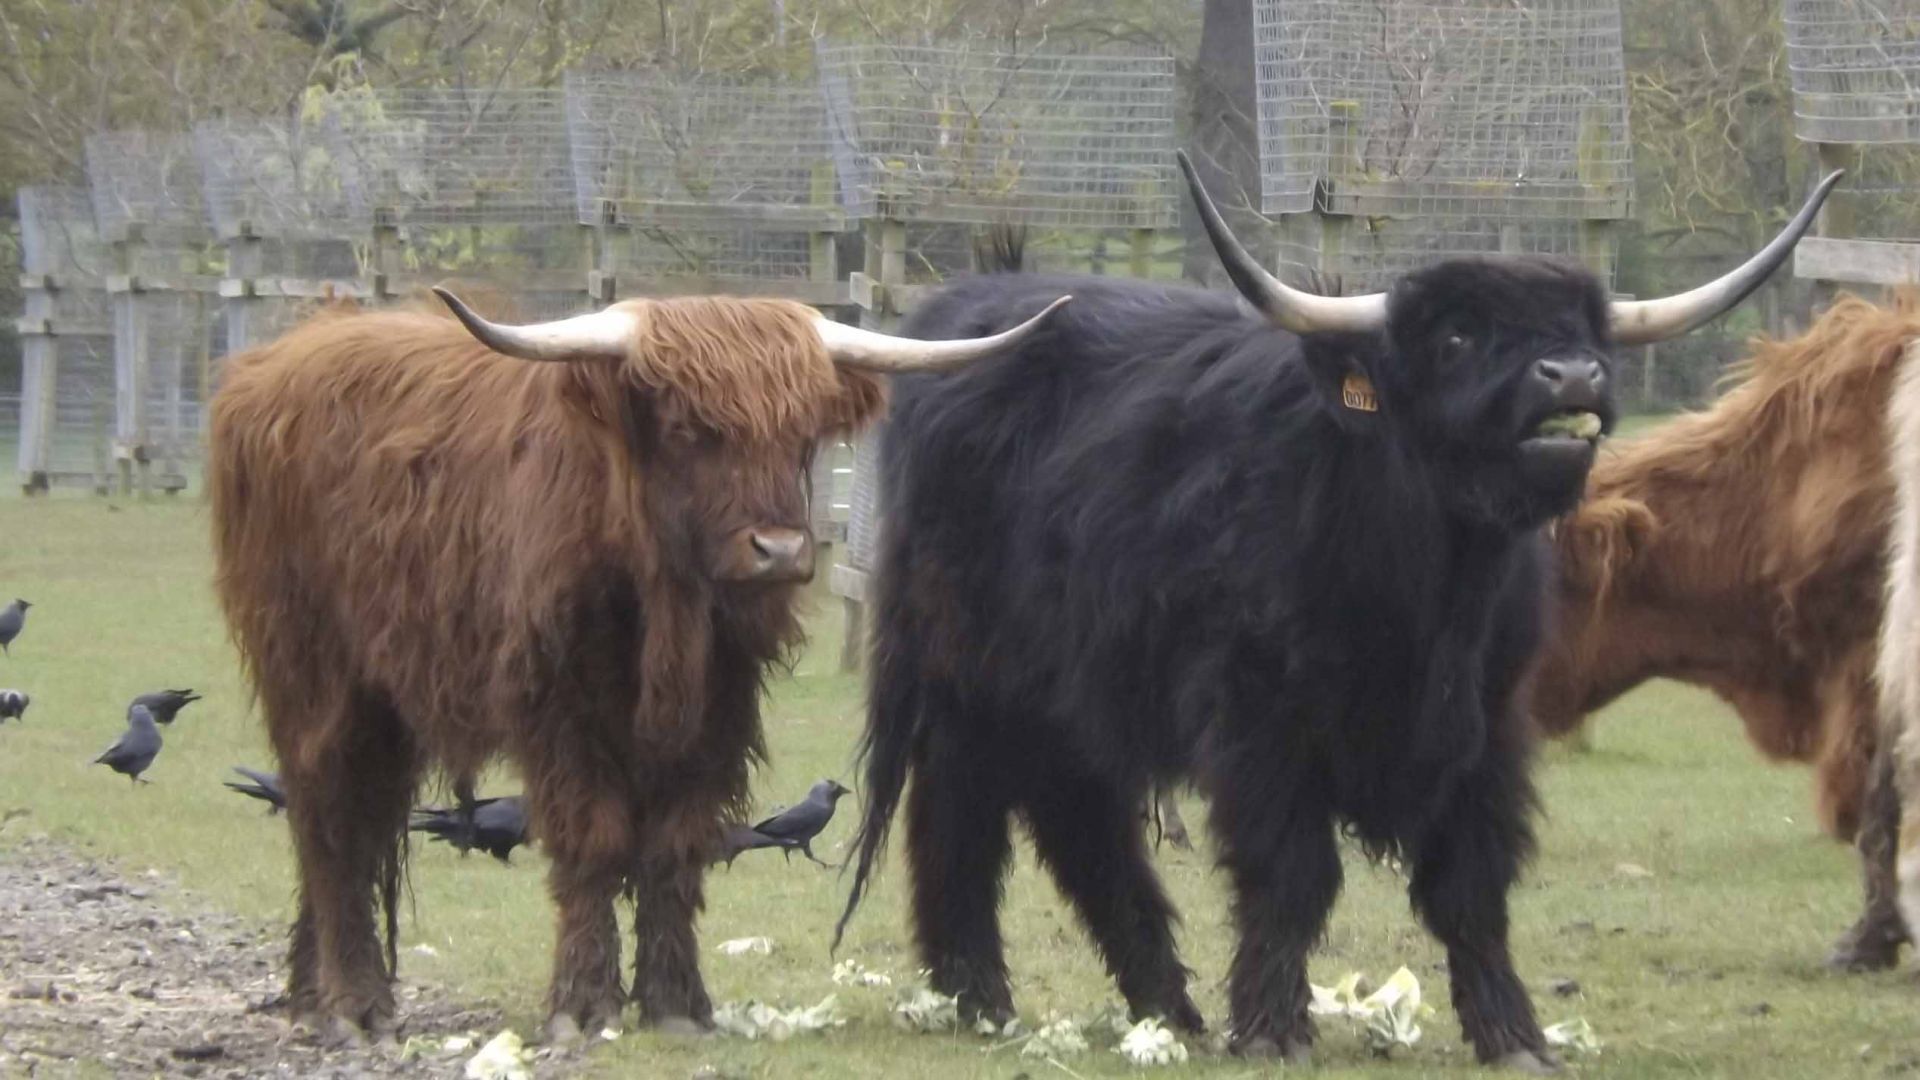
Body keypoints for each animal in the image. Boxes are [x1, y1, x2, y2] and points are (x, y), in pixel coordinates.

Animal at [206, 286, 1065, 1044]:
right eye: (691, 428)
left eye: (803, 432)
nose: (780, 550)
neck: (664, 612)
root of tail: (278, 362)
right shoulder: (560, 712)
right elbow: (595, 839)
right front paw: (583, 1007)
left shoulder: (718, 713)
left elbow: (676, 846)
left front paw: (678, 1006)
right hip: (315, 677)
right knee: (329, 820)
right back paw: (353, 1009)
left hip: (385, 695)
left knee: (358, 822)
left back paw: (314, 998)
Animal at [833, 153, 1835, 1072]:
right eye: (1458, 336)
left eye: (1585, 330)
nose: (1571, 375)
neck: (1430, 586)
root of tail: (972, 306)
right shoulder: (1262, 720)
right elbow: (1292, 873)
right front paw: (1275, 1028)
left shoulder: (1487, 725)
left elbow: (1473, 882)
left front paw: (1513, 1036)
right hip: (971, 671)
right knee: (964, 812)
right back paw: (980, 997)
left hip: (1069, 691)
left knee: (1078, 820)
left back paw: (1163, 1008)